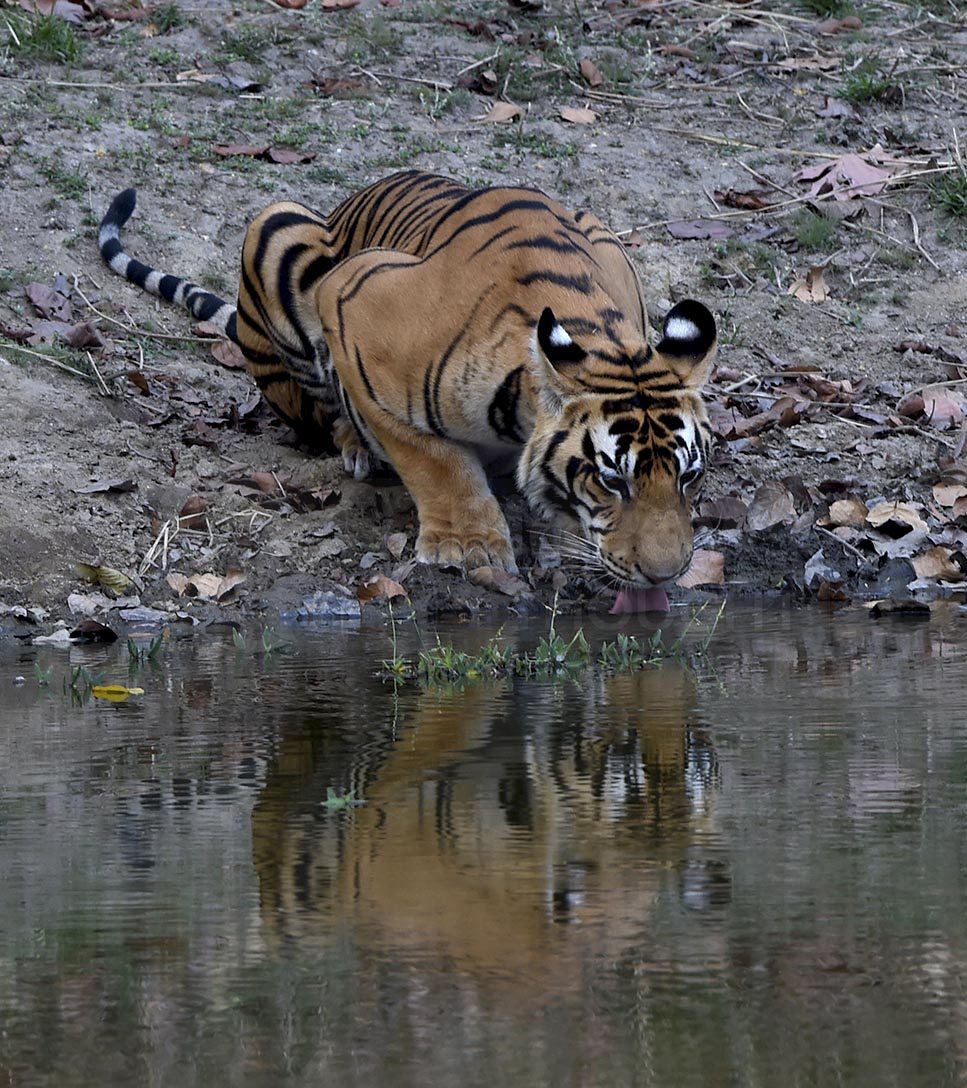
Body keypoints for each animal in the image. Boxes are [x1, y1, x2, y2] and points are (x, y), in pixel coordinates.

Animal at [100, 169, 717, 604]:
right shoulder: (353, 308)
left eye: (689, 477)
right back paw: (355, 447)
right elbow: (432, 459)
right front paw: (469, 544)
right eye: (612, 481)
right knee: (321, 416)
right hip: (275, 228)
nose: (667, 575)